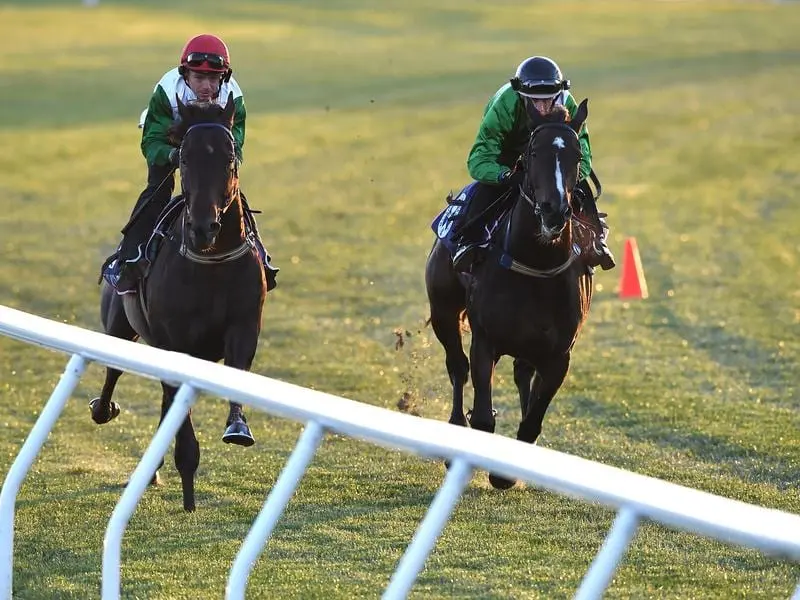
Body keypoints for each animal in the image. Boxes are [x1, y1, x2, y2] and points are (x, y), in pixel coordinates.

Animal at [90, 94, 266, 510]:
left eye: (229, 159)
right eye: (184, 159)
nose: (203, 227)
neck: (210, 263)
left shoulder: (243, 326)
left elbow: (236, 373)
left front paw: (238, 427)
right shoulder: (174, 340)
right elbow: (182, 429)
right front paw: (188, 492)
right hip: (120, 326)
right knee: (114, 372)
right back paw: (104, 409)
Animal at [428, 101, 592, 490]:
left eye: (577, 154)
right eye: (533, 152)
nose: (553, 210)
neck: (535, 265)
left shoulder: (558, 356)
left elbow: (532, 421)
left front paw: (508, 472)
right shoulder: (485, 341)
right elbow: (483, 416)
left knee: (521, 375)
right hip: (443, 311)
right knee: (457, 367)